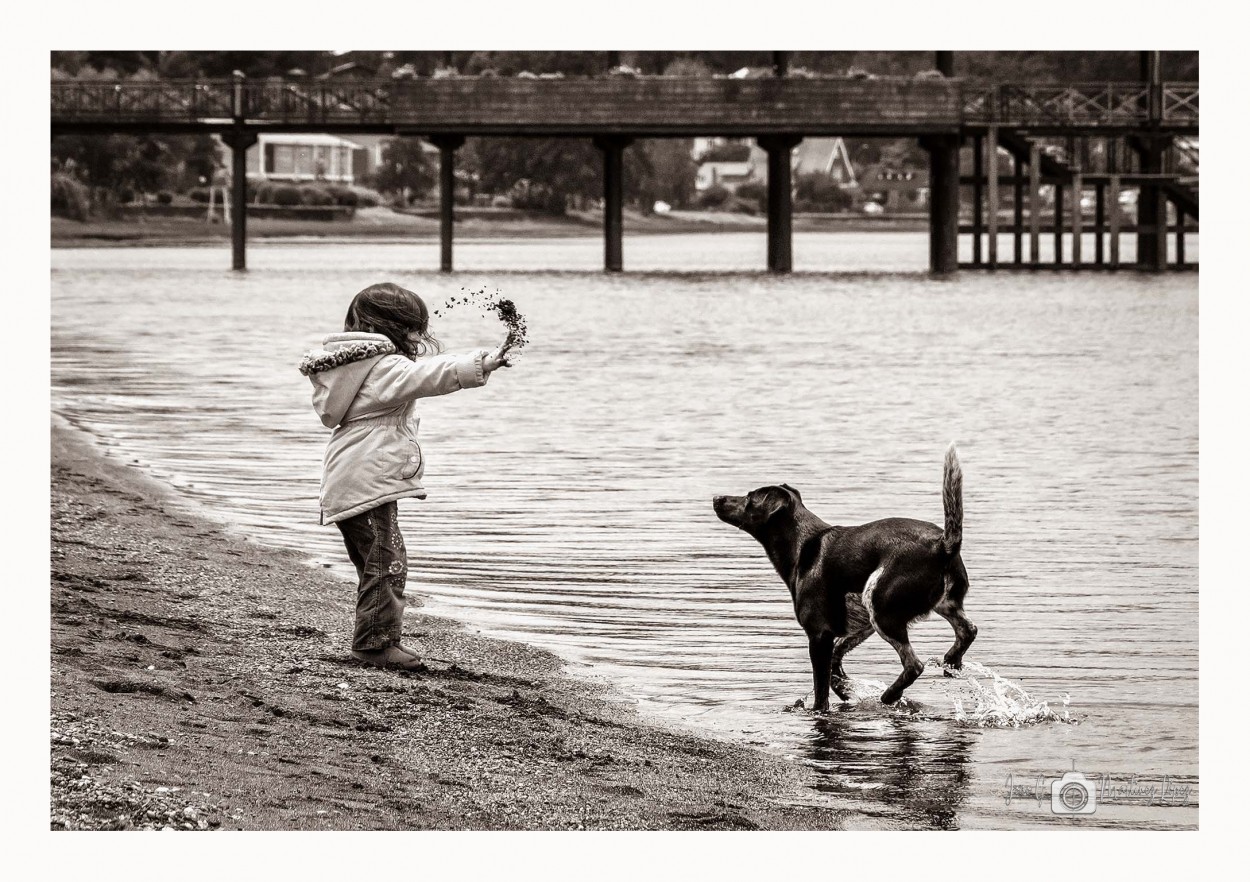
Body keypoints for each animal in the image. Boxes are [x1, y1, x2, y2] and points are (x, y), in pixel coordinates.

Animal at [715, 442, 975, 704]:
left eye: (749, 498)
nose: (717, 497)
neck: (802, 543)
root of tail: (942, 544)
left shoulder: (819, 635)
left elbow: (821, 693)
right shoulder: (857, 627)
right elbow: (835, 666)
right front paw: (845, 689)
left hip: (881, 609)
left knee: (914, 665)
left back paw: (889, 695)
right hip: (938, 604)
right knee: (968, 631)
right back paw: (950, 662)